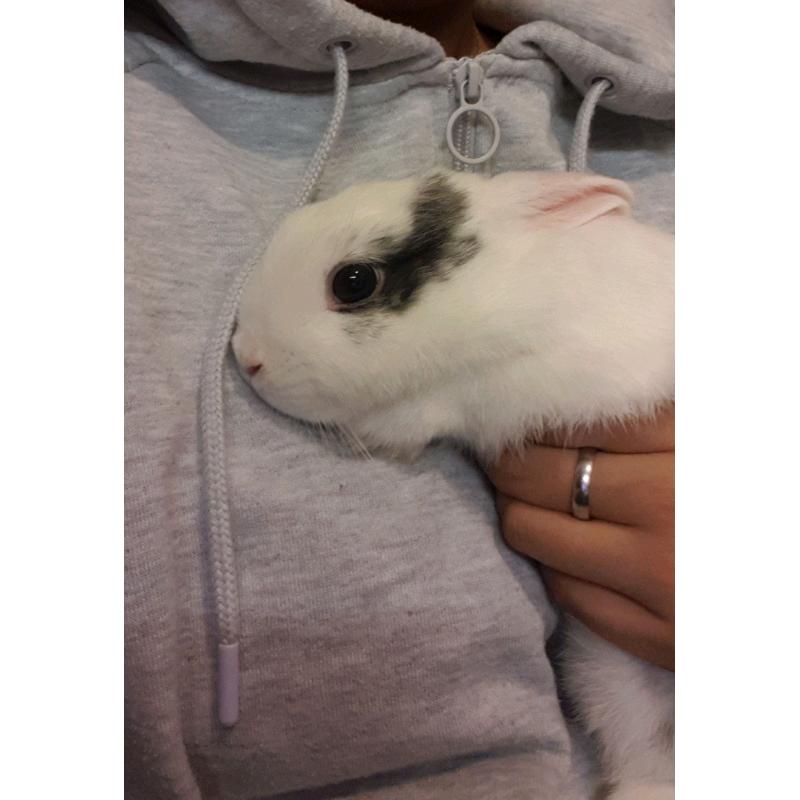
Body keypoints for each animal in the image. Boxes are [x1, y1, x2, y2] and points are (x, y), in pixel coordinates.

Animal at [233, 170, 675, 800]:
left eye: (353, 282)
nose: (247, 357)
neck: (509, 293)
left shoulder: (519, 385)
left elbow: (436, 409)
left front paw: (379, 432)